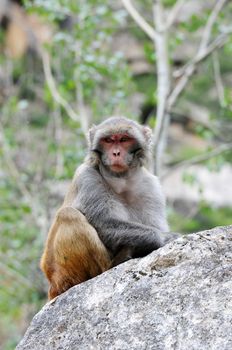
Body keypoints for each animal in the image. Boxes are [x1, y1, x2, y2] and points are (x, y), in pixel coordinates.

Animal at [40, 116, 169, 300]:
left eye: (124, 139)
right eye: (108, 140)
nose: (116, 153)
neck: (121, 182)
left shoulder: (150, 186)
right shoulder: (87, 177)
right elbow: (103, 223)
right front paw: (164, 238)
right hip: (64, 274)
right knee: (69, 215)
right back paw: (114, 263)